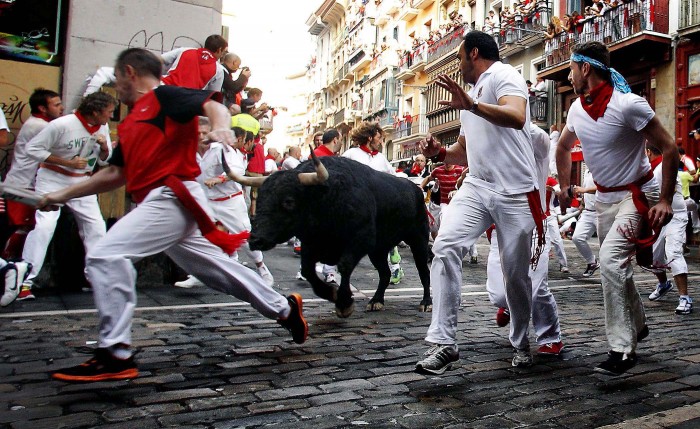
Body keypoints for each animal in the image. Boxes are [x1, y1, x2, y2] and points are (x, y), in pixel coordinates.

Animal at [246, 155, 432, 316]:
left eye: (288, 201)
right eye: (260, 198)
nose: (255, 239)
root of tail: (415, 189)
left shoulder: (360, 241)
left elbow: (344, 266)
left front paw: (344, 303)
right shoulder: (311, 244)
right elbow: (307, 269)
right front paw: (330, 294)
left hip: (419, 240)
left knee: (424, 270)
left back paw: (426, 302)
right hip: (378, 250)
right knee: (385, 273)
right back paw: (376, 301)